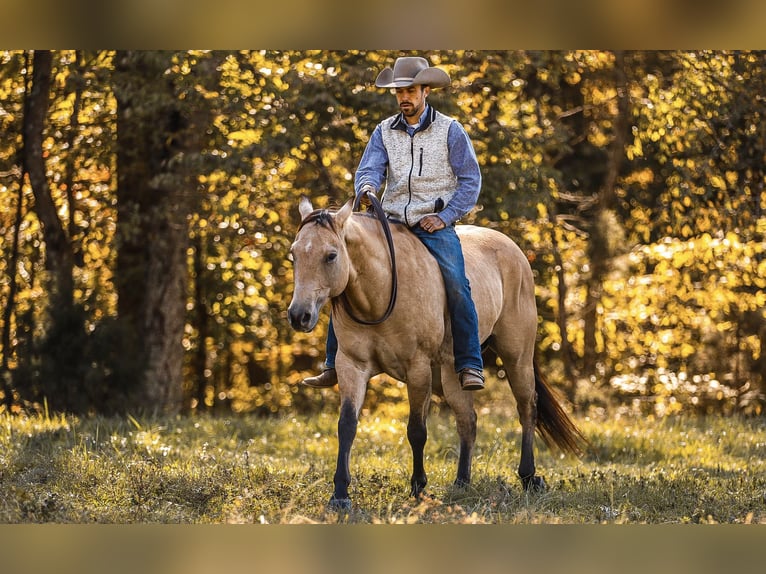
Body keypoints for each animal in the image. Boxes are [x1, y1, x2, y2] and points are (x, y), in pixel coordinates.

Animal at [286, 196, 584, 510]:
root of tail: (514, 251)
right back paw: (462, 482)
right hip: (451, 374)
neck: (381, 291)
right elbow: (346, 426)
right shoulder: (351, 366)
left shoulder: (417, 368)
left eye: (331, 256)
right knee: (468, 420)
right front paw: (340, 495)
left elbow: (416, 430)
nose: (298, 316)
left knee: (527, 408)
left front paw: (418, 488)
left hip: (517, 358)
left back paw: (528, 477)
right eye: (294, 254)